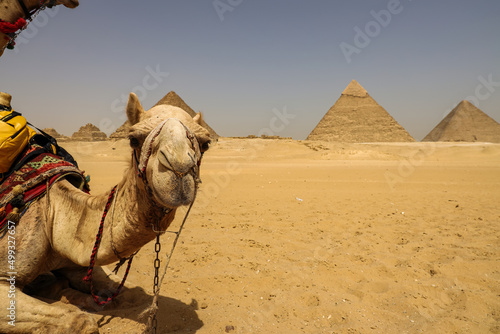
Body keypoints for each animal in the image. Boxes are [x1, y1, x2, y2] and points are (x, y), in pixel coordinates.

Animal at [0, 90, 212, 332]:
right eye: (133, 139)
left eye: (205, 143)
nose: (179, 169)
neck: (52, 213)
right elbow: (80, 321)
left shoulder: (79, 264)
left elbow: (130, 292)